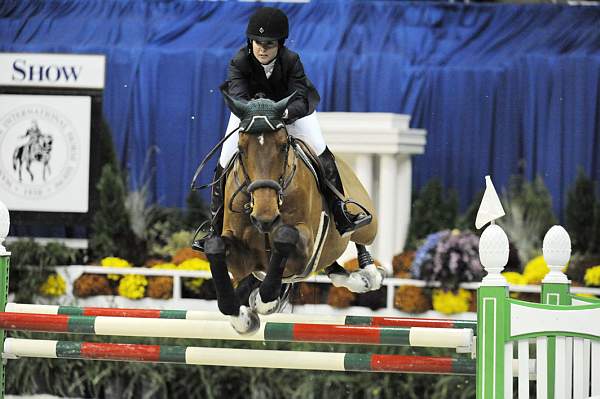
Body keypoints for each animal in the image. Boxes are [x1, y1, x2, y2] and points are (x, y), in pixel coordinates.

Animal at [205, 94, 384, 334]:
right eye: (241, 149)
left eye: (283, 147)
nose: (265, 218)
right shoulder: (240, 255)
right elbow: (215, 247)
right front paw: (241, 317)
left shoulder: (305, 247)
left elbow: (284, 237)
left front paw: (265, 302)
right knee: (333, 269)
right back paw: (358, 280)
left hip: (366, 224)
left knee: (360, 236)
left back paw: (370, 274)